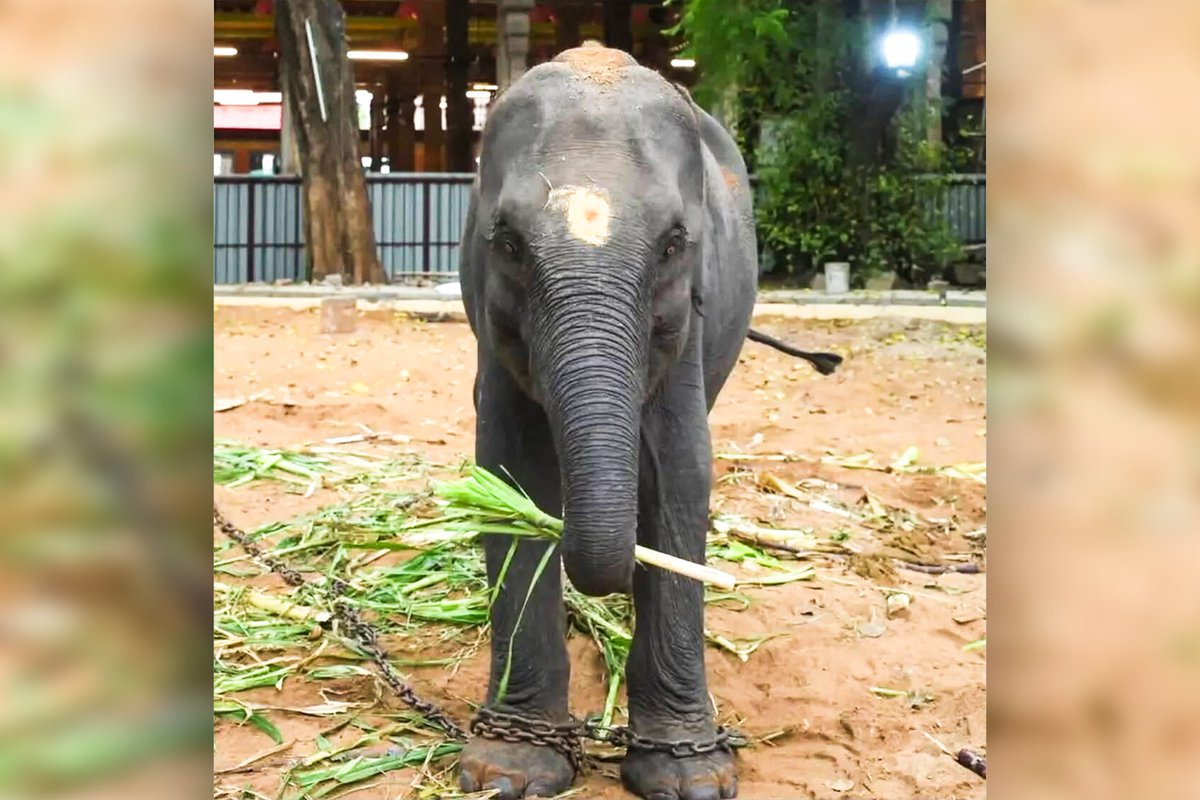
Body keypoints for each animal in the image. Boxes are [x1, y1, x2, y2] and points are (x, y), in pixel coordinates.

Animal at [456, 43, 840, 800]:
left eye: (673, 244)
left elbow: (680, 472)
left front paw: (690, 778)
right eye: (507, 243)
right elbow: (510, 473)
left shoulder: (686, 324)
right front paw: (509, 773)